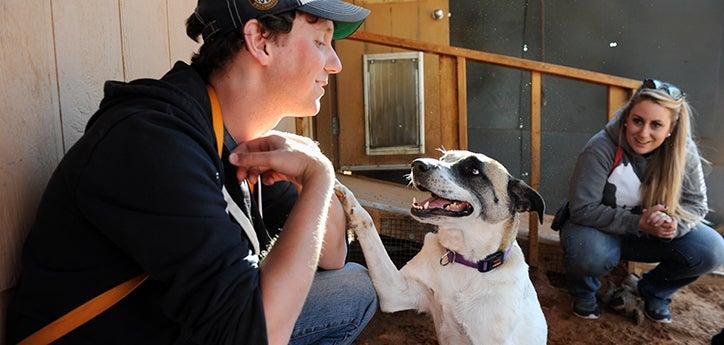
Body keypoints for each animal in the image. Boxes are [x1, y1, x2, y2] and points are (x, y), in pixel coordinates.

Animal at [336, 150, 544, 344]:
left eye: (473, 170)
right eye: (444, 159)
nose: (417, 164)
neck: (464, 260)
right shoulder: (395, 292)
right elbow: (367, 222)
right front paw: (339, 189)